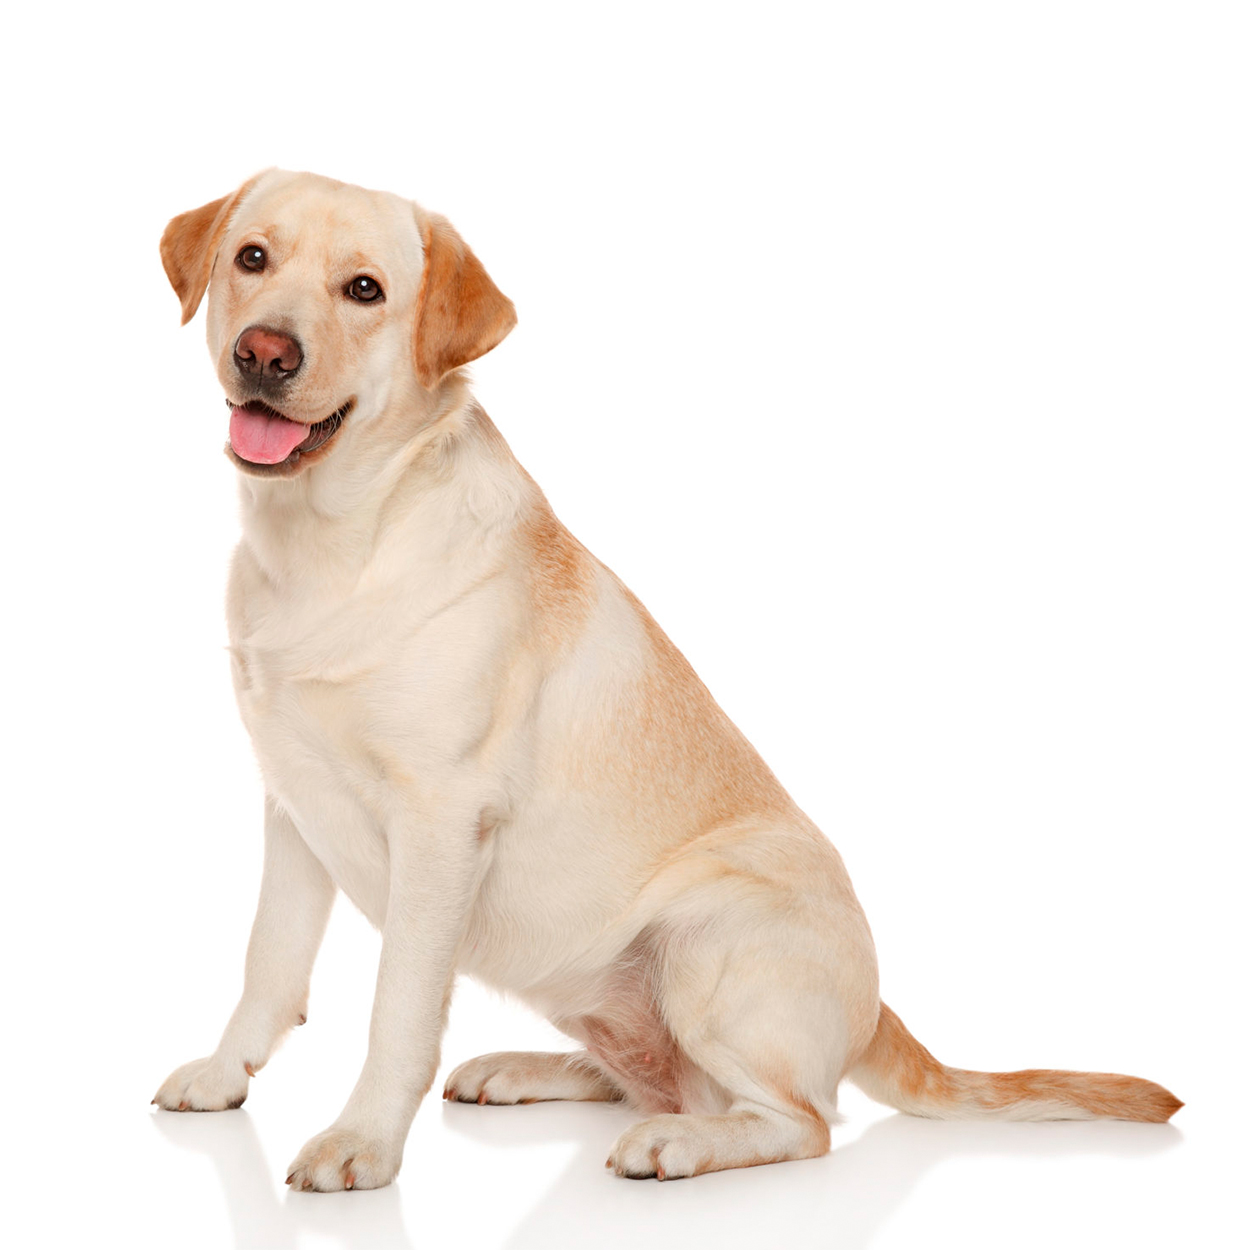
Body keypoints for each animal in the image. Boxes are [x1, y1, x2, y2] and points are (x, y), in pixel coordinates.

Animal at [156, 171, 1180, 1185]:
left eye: (363, 290)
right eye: (253, 258)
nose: (263, 352)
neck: (331, 546)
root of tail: (876, 1011)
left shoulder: (440, 822)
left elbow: (398, 1010)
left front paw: (363, 1140)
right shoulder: (293, 808)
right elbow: (268, 964)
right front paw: (223, 1073)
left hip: (703, 942)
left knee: (796, 1121)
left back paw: (679, 1144)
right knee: (650, 1078)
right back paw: (529, 1070)